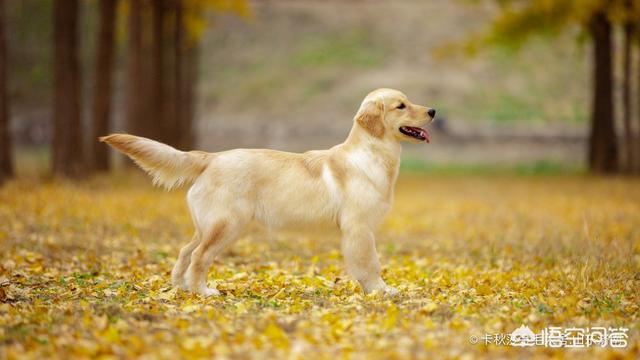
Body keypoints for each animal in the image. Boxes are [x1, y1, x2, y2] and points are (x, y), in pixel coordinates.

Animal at [101, 88, 436, 296]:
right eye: (401, 105)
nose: (433, 110)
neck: (371, 154)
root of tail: (211, 157)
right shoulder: (359, 228)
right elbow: (370, 263)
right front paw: (380, 290)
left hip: (207, 224)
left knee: (185, 250)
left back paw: (180, 287)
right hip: (226, 224)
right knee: (199, 256)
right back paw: (201, 291)